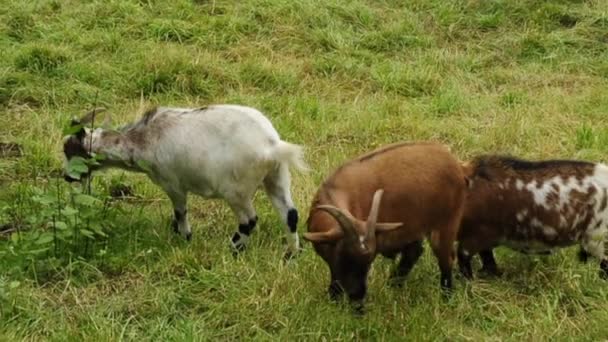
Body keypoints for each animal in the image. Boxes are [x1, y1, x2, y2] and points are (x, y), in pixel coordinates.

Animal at [64, 104, 308, 256]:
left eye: (71, 152)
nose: (66, 177)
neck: (145, 139)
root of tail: (272, 146)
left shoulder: (173, 184)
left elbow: (180, 211)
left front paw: (185, 237)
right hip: (277, 177)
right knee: (290, 214)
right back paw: (291, 254)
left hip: (237, 191)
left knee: (249, 220)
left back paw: (233, 249)